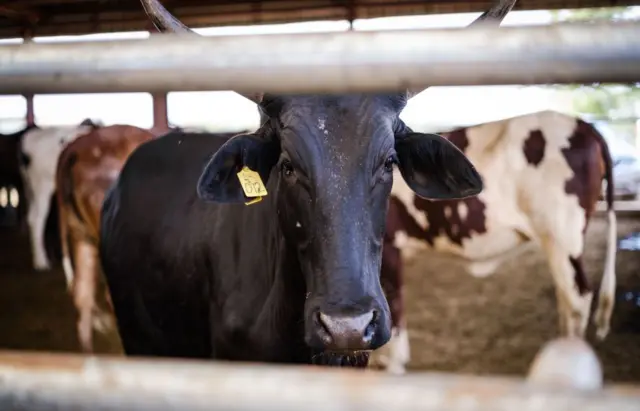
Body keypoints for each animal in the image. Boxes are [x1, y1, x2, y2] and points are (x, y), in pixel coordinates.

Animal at [368, 110, 616, 374]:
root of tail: (583, 126)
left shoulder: (391, 245)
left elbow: (394, 306)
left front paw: (392, 364)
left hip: (562, 235)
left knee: (578, 298)